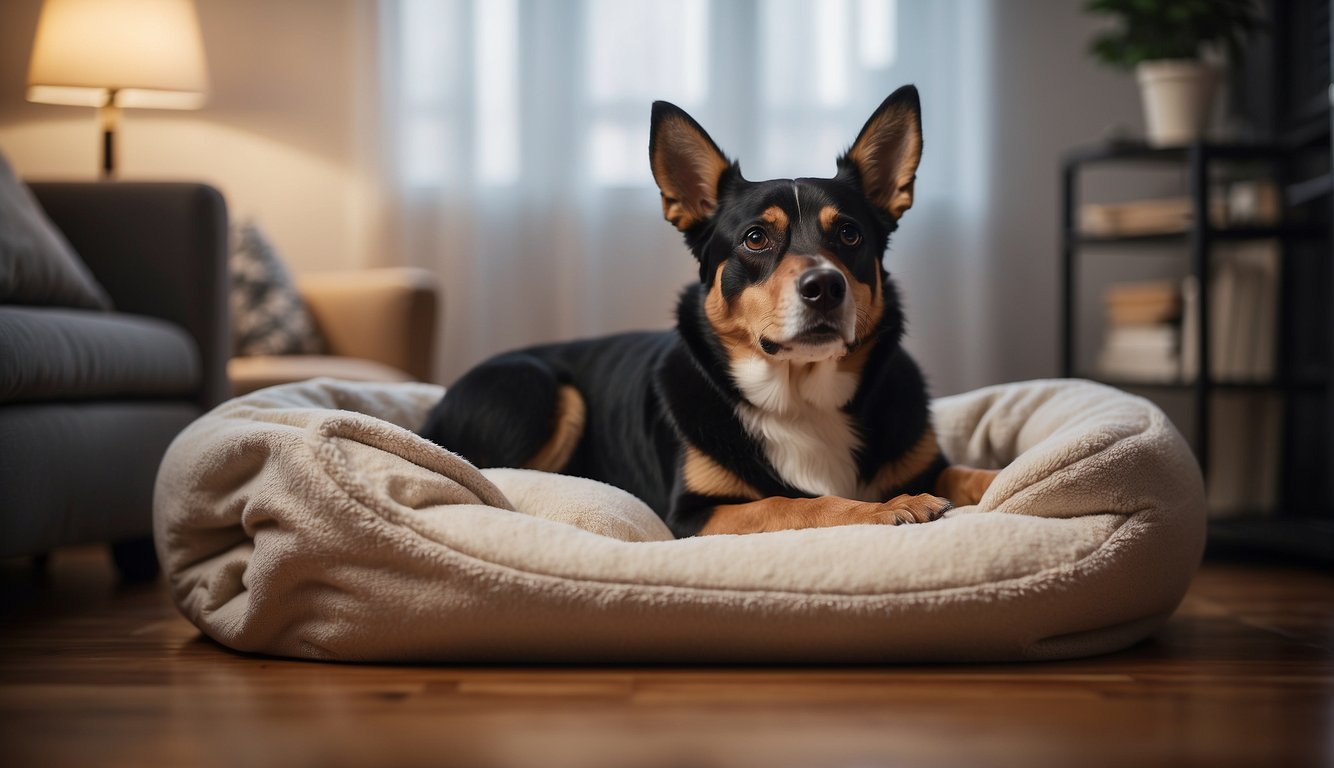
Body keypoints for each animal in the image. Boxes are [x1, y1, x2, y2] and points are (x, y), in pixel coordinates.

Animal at [421, 85, 997, 533]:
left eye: (850, 234)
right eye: (756, 238)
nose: (825, 287)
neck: (801, 397)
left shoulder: (928, 459)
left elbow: (970, 474)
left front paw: (1000, 481)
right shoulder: (695, 515)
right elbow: (795, 503)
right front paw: (890, 506)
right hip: (541, 388)